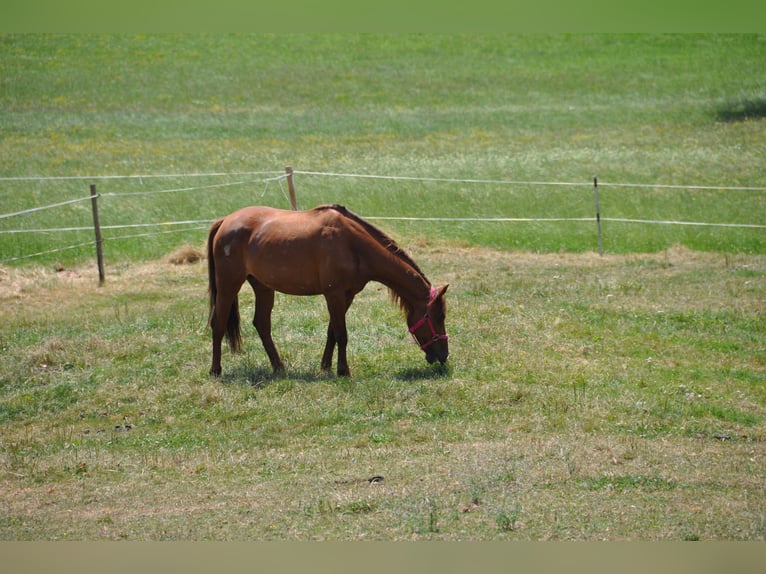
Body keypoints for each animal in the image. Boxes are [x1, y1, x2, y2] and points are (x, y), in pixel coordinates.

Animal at [207, 204, 449, 377]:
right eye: (437, 317)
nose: (444, 355)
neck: (353, 245)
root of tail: (224, 221)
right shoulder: (334, 294)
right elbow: (342, 333)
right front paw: (343, 371)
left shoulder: (347, 295)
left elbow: (332, 331)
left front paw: (325, 366)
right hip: (228, 285)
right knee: (218, 324)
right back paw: (216, 370)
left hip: (263, 287)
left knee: (262, 324)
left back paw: (279, 367)